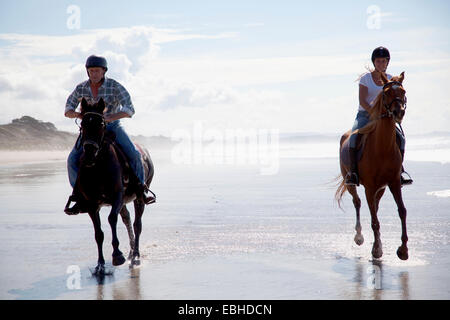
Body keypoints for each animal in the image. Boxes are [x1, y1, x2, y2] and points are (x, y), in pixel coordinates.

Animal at [74, 97, 153, 272]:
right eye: (83, 123)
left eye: (101, 124)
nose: (89, 152)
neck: (98, 168)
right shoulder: (91, 205)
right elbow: (98, 233)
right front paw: (100, 265)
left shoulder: (117, 196)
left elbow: (111, 219)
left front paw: (117, 255)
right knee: (127, 219)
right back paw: (131, 252)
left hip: (138, 197)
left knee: (137, 224)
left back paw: (135, 256)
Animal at [336, 72, 410, 260]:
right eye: (386, 93)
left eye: (403, 91)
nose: (399, 112)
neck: (382, 148)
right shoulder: (369, 187)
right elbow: (375, 220)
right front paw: (376, 250)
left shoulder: (394, 183)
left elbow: (402, 211)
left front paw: (403, 250)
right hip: (351, 183)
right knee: (358, 202)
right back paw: (359, 236)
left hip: (381, 188)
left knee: (374, 207)